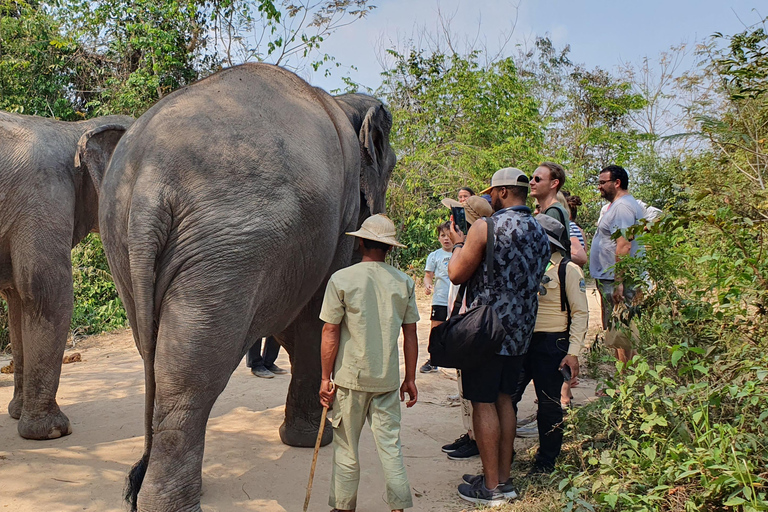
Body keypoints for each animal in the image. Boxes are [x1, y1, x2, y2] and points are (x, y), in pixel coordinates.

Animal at [0, 112, 133, 440]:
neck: (73, 130)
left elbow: (18, 303)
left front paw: (17, 414)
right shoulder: (42, 197)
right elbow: (47, 293)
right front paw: (52, 432)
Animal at [78, 62, 396, 510]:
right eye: (393, 167)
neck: (342, 101)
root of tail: (148, 186)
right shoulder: (339, 221)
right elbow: (313, 320)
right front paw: (309, 439)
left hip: (125, 240)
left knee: (155, 354)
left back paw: (143, 488)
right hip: (228, 247)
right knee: (192, 374)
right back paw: (174, 502)